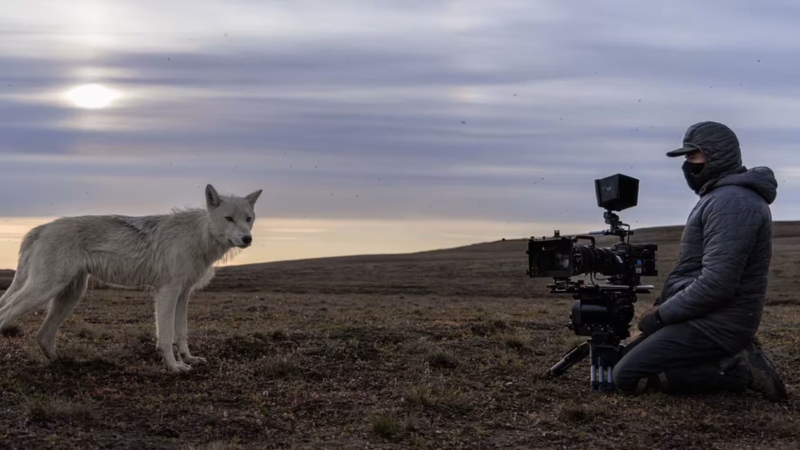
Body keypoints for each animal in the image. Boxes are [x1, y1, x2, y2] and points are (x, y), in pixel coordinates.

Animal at [0, 184, 262, 373]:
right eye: (229, 218)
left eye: (248, 219)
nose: (247, 239)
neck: (198, 236)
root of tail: (40, 228)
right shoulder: (167, 292)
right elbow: (166, 336)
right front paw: (174, 366)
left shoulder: (183, 294)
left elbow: (181, 332)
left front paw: (189, 359)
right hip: (45, 290)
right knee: (7, 313)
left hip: (69, 296)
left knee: (43, 336)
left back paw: (64, 363)